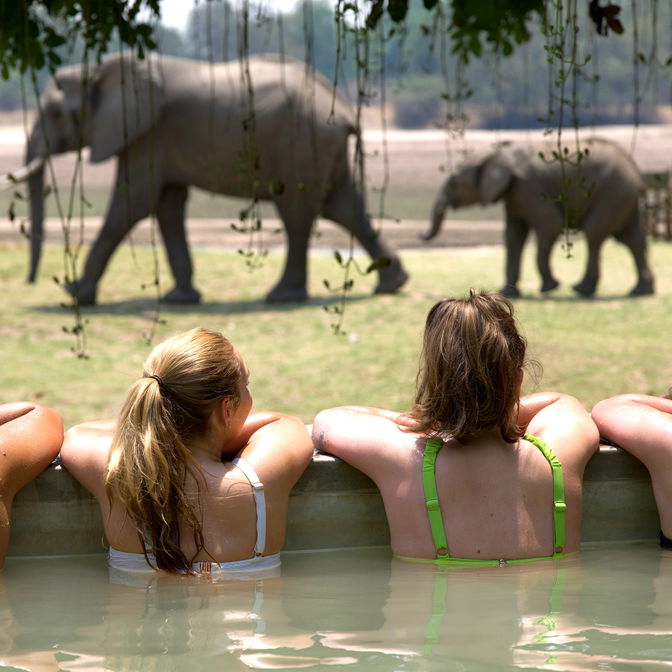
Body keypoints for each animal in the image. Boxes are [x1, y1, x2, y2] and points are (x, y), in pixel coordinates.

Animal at [6, 52, 410, 304]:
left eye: (55, 113)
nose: (30, 281)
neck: (100, 66)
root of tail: (341, 106)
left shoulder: (147, 134)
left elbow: (133, 203)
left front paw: (75, 294)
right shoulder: (156, 140)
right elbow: (166, 206)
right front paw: (180, 300)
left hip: (302, 144)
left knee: (298, 214)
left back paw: (281, 297)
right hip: (320, 147)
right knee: (344, 206)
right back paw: (392, 285)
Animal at [428, 138, 652, 298]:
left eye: (453, 183)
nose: (422, 235)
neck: (495, 154)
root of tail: (636, 170)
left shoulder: (529, 188)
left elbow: (549, 225)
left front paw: (549, 287)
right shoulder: (514, 195)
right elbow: (513, 236)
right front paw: (507, 293)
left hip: (613, 192)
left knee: (595, 233)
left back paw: (582, 289)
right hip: (622, 196)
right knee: (632, 238)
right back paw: (640, 291)